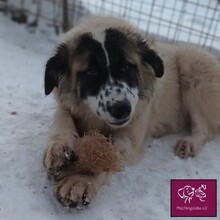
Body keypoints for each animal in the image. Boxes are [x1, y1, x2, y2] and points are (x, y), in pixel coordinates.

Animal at [42, 16, 220, 209]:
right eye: (91, 72)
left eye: (127, 67)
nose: (121, 109)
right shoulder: (66, 106)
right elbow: (62, 118)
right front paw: (58, 148)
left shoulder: (131, 135)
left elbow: (109, 154)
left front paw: (81, 179)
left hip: (193, 69)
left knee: (203, 129)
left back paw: (189, 143)